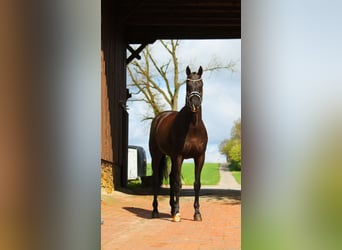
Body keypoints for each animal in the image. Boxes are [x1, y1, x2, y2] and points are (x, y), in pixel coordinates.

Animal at [148, 65, 207, 222]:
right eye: (187, 85)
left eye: (201, 84)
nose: (195, 103)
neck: (192, 127)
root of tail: (159, 118)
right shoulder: (179, 156)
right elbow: (177, 184)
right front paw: (178, 213)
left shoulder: (200, 157)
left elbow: (196, 184)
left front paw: (197, 213)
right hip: (157, 156)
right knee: (156, 180)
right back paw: (155, 211)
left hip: (171, 157)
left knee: (170, 177)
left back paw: (171, 209)